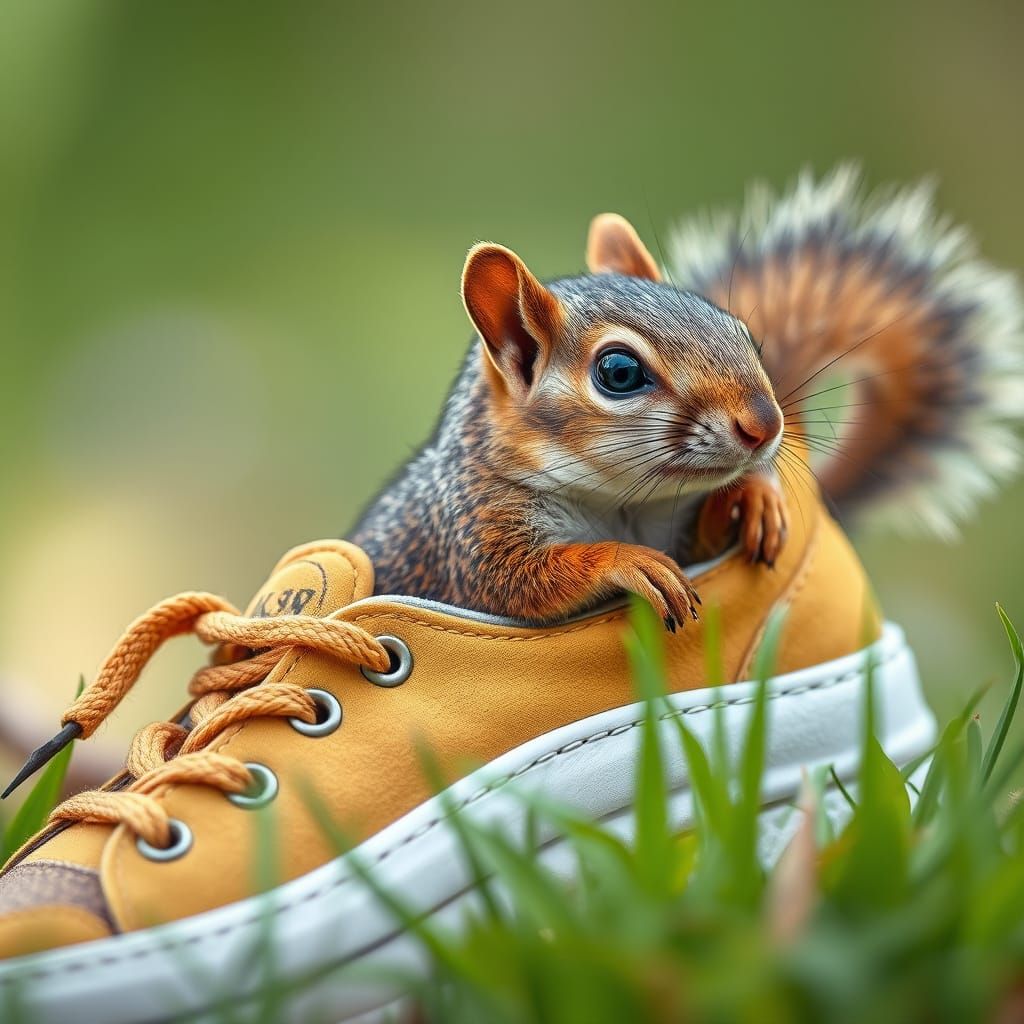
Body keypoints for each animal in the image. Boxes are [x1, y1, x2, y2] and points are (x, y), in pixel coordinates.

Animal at [350, 166, 1024, 630]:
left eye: (742, 331)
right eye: (618, 372)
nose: (765, 425)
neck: (624, 503)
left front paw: (753, 497)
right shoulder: (472, 534)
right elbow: (519, 584)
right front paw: (624, 561)